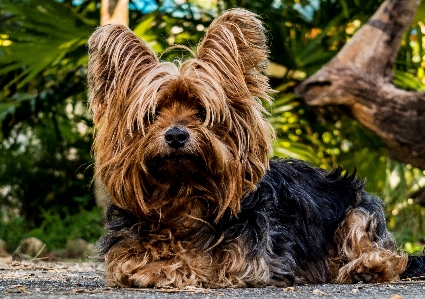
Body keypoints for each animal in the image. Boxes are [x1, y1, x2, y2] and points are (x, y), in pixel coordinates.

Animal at [87, 7, 424, 288]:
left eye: (202, 111)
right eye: (154, 113)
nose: (176, 136)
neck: (183, 193)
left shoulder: (247, 262)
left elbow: (199, 261)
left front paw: (167, 267)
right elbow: (129, 262)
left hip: (358, 210)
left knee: (384, 252)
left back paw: (365, 267)